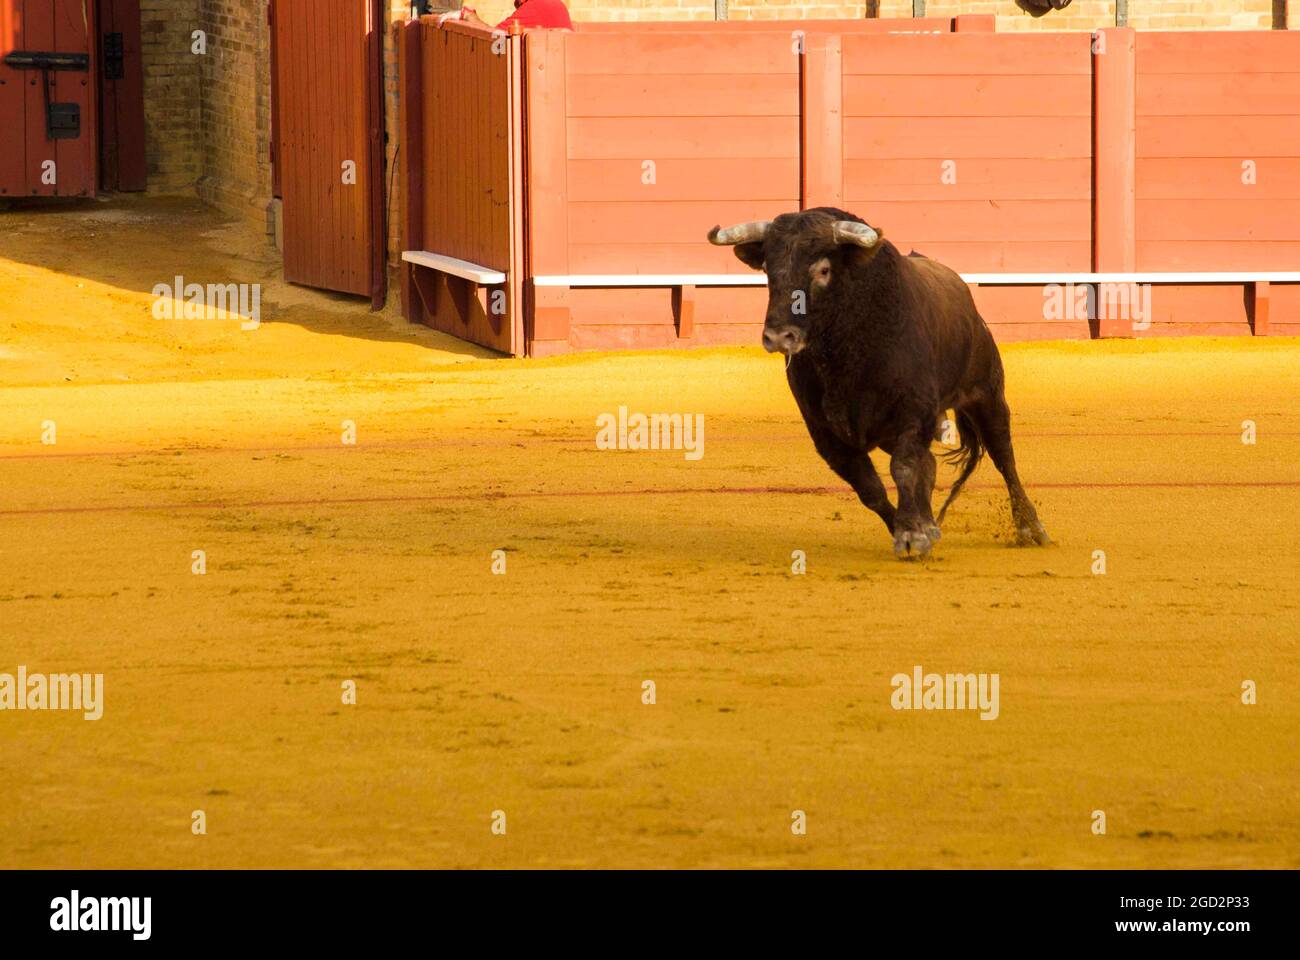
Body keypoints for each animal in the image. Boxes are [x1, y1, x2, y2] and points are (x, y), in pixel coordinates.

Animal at [707, 205, 1050, 556]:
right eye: (767, 269)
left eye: (824, 270)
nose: (778, 336)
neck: (845, 355)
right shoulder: (825, 433)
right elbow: (870, 487)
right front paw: (910, 529)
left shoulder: (914, 412)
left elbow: (905, 468)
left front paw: (912, 533)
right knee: (930, 463)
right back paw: (930, 523)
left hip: (987, 394)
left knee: (1003, 454)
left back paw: (1029, 527)